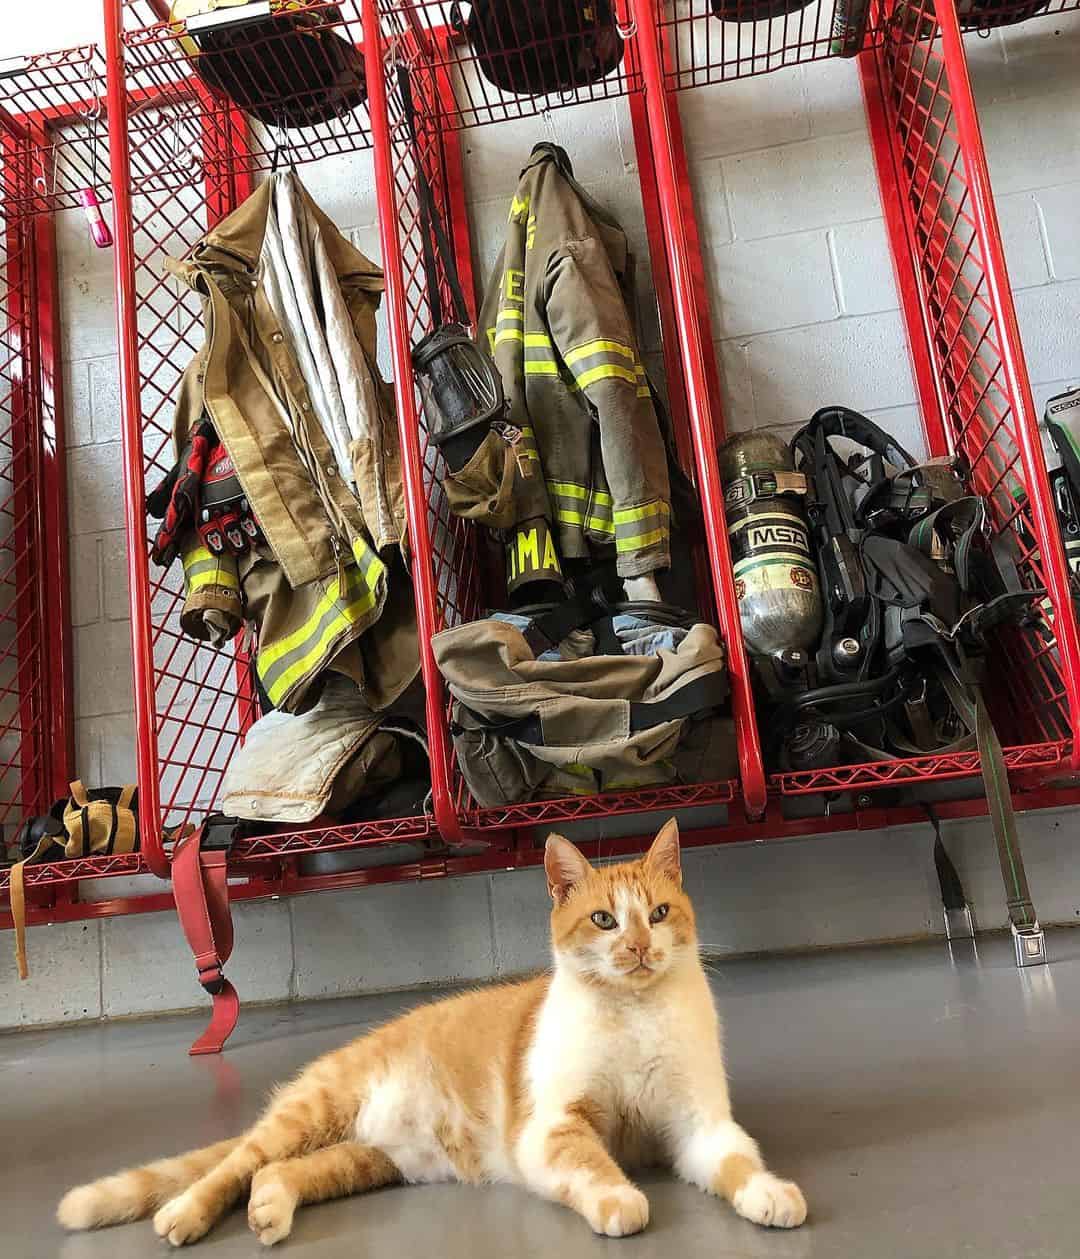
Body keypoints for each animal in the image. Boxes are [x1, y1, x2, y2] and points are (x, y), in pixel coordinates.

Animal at [56, 820, 800, 1243]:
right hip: (316, 1110)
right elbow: (592, 1163)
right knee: (235, 1163)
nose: (641, 948)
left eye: (660, 913)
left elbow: (735, 1160)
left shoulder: (700, 1124)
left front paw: (769, 1192)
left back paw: (270, 1209)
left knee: (276, 1170)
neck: (635, 1015)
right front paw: (621, 1199)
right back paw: (185, 1213)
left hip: (371, 1159)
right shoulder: (552, 1126)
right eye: (604, 921)